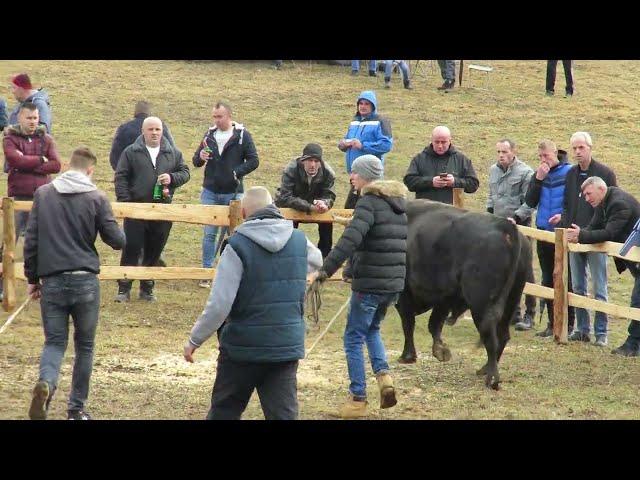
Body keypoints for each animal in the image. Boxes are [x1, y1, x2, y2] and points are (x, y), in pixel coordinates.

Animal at [398, 200, 532, 390]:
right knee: (502, 335)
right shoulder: (443, 300)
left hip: (480, 305)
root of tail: (505, 227)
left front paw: (407, 356)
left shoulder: (405, 294)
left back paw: (492, 379)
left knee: (490, 337)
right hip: (510, 302)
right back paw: (484, 370)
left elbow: (409, 323)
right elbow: (434, 324)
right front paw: (441, 351)